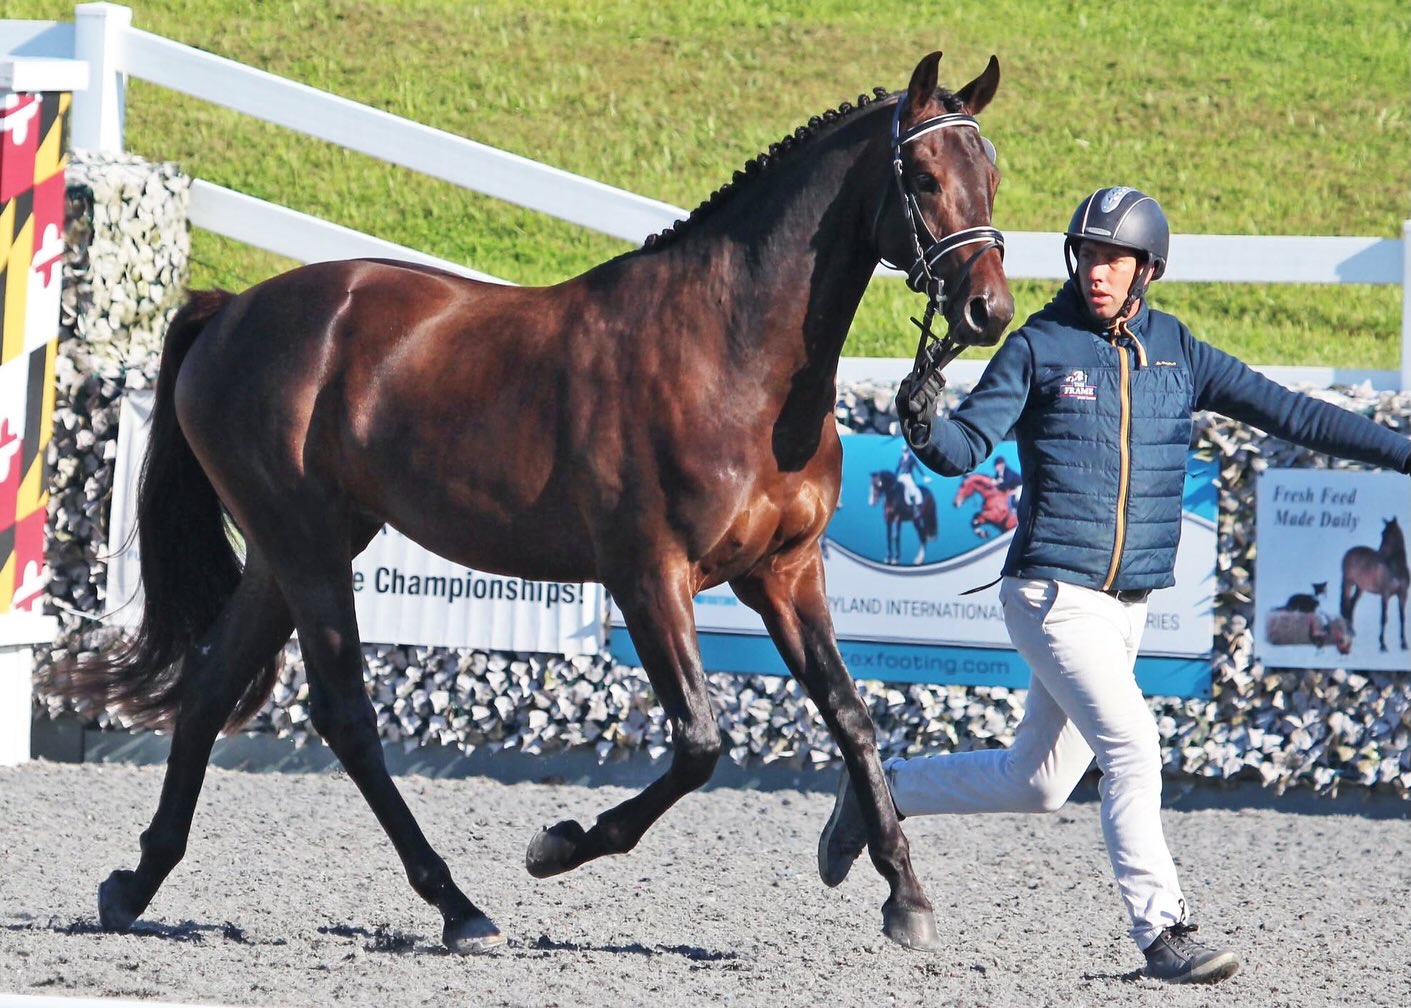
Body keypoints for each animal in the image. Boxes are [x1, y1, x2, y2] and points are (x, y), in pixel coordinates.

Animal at [62, 51, 1013, 955]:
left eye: (991, 173)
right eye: (921, 174)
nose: (987, 310)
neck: (733, 355)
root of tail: (230, 310)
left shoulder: (784, 574)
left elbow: (852, 720)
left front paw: (905, 896)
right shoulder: (648, 577)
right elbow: (699, 744)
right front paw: (560, 843)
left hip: (289, 548)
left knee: (210, 687)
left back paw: (135, 885)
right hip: (308, 548)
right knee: (344, 715)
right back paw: (457, 906)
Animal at [1340, 516, 1409, 652]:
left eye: (1390, 534)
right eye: (1382, 533)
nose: (1380, 554)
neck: (1396, 569)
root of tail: (1348, 553)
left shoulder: (1403, 595)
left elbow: (1402, 618)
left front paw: (1404, 644)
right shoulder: (1385, 595)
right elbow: (1383, 618)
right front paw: (1382, 645)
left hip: (1360, 587)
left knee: (1352, 603)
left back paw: (1352, 631)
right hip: (1348, 583)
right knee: (1346, 604)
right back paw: (1348, 632)